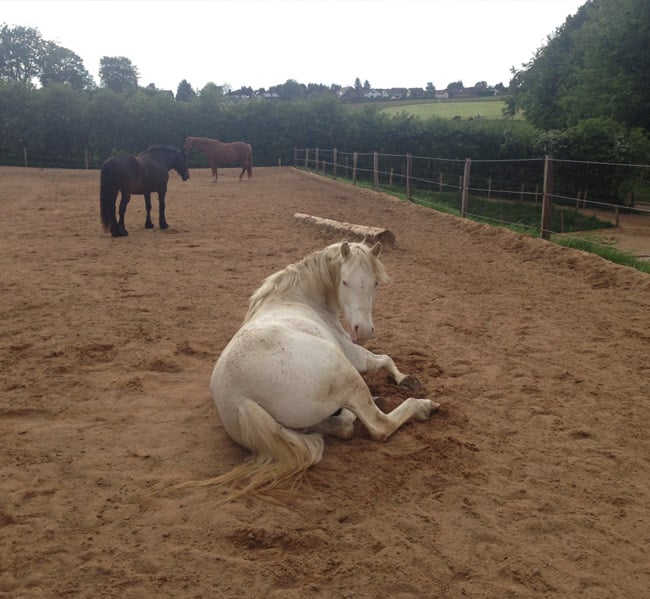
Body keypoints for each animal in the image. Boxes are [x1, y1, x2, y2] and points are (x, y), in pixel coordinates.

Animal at [208, 241, 440, 500]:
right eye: (345, 281)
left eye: (376, 283)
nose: (363, 331)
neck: (298, 297)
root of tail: (241, 398)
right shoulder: (353, 354)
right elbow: (384, 360)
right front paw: (406, 379)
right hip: (347, 375)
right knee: (379, 425)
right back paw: (421, 406)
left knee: (341, 427)